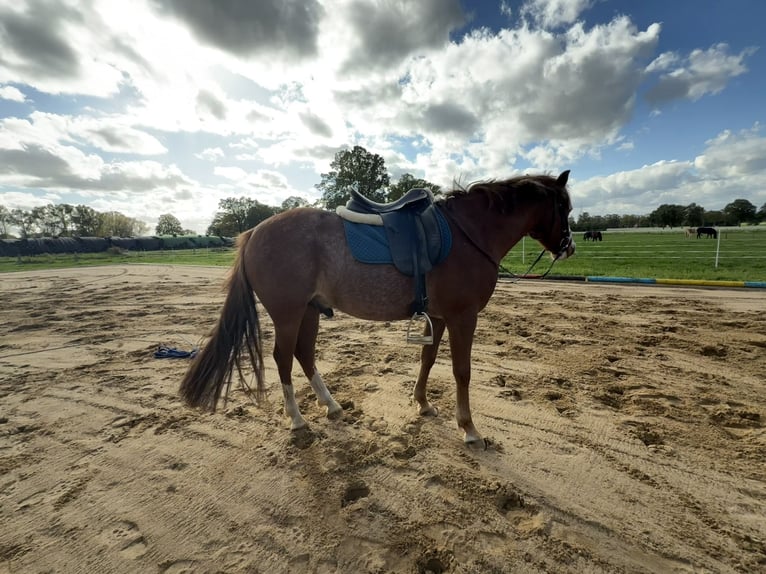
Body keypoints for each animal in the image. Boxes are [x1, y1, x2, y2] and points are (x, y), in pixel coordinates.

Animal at [179, 171, 575, 445]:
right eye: (565, 207)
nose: (568, 247)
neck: (469, 233)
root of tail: (253, 233)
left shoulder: (439, 317)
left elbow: (427, 360)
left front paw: (422, 403)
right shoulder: (463, 317)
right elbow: (462, 371)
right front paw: (469, 428)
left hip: (309, 311)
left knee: (304, 354)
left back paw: (331, 406)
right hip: (289, 314)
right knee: (284, 358)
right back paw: (297, 419)